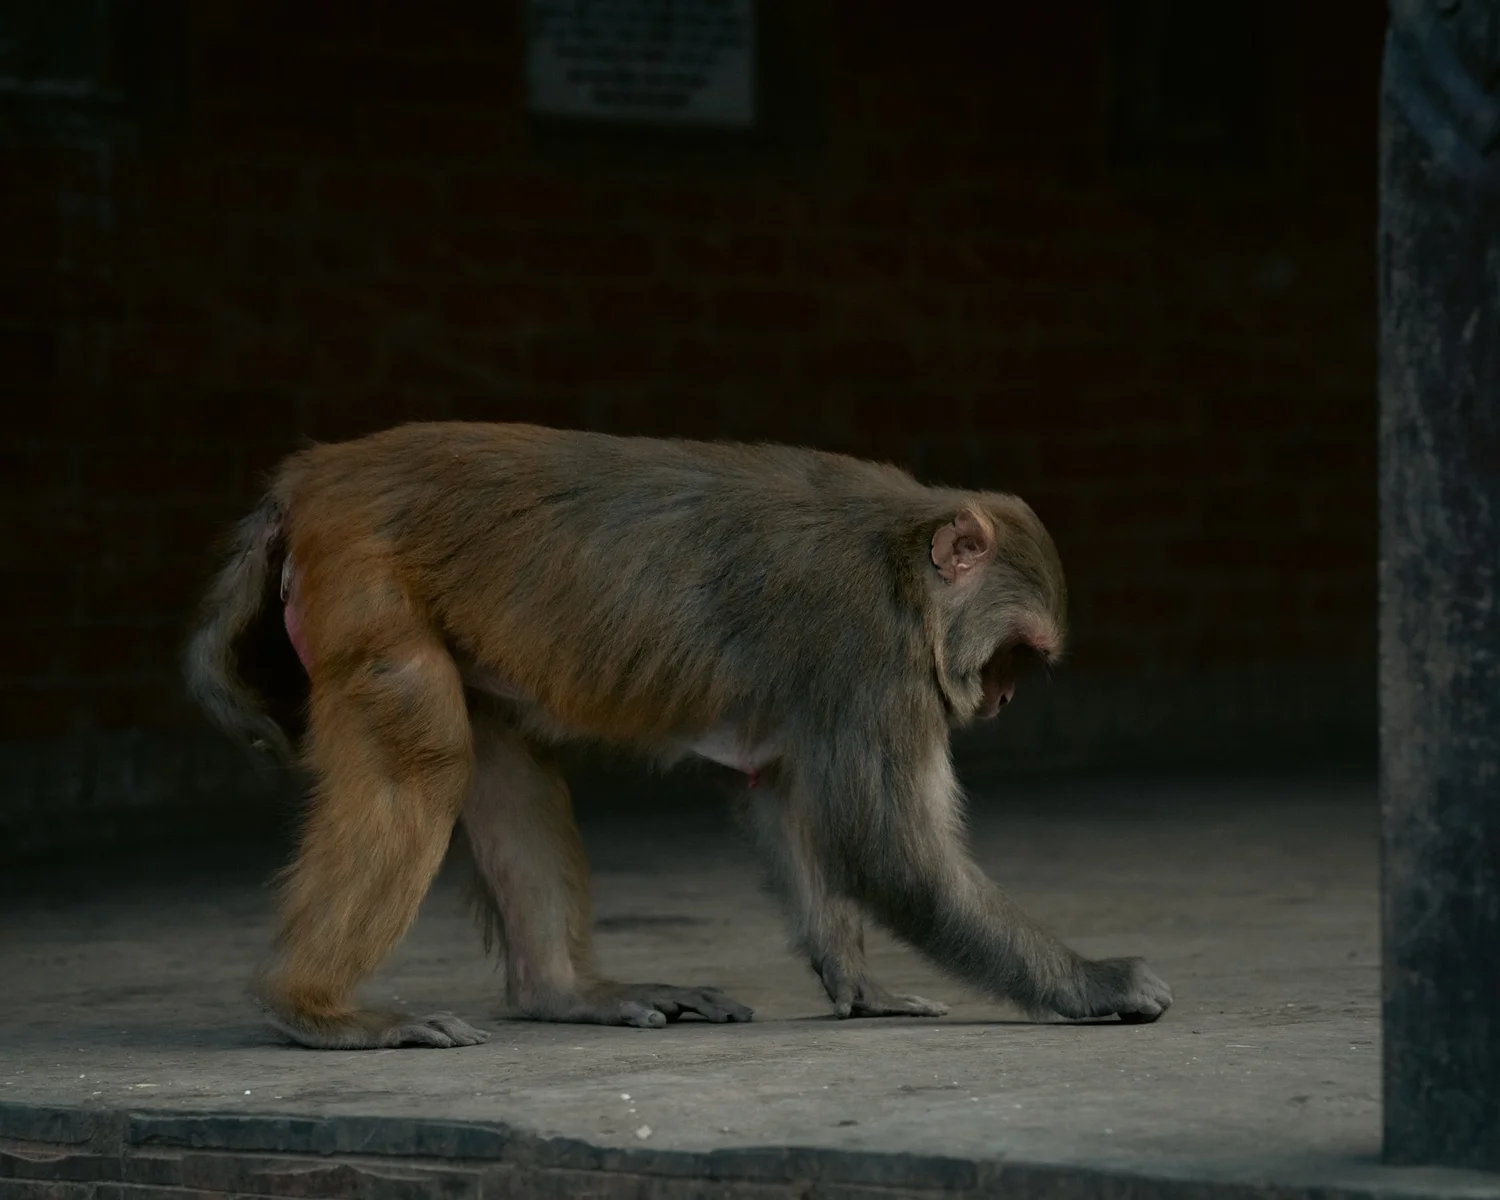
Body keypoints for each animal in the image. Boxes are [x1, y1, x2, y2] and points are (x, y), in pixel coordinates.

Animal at [184, 421, 1173, 1049]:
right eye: (1015, 658)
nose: (994, 701)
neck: (905, 559)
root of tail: (312, 478)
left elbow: (780, 797)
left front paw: (862, 988)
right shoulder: (871, 653)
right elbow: (889, 850)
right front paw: (1093, 983)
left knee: (499, 764)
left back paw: (563, 995)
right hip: (365, 575)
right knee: (425, 756)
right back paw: (313, 1008)